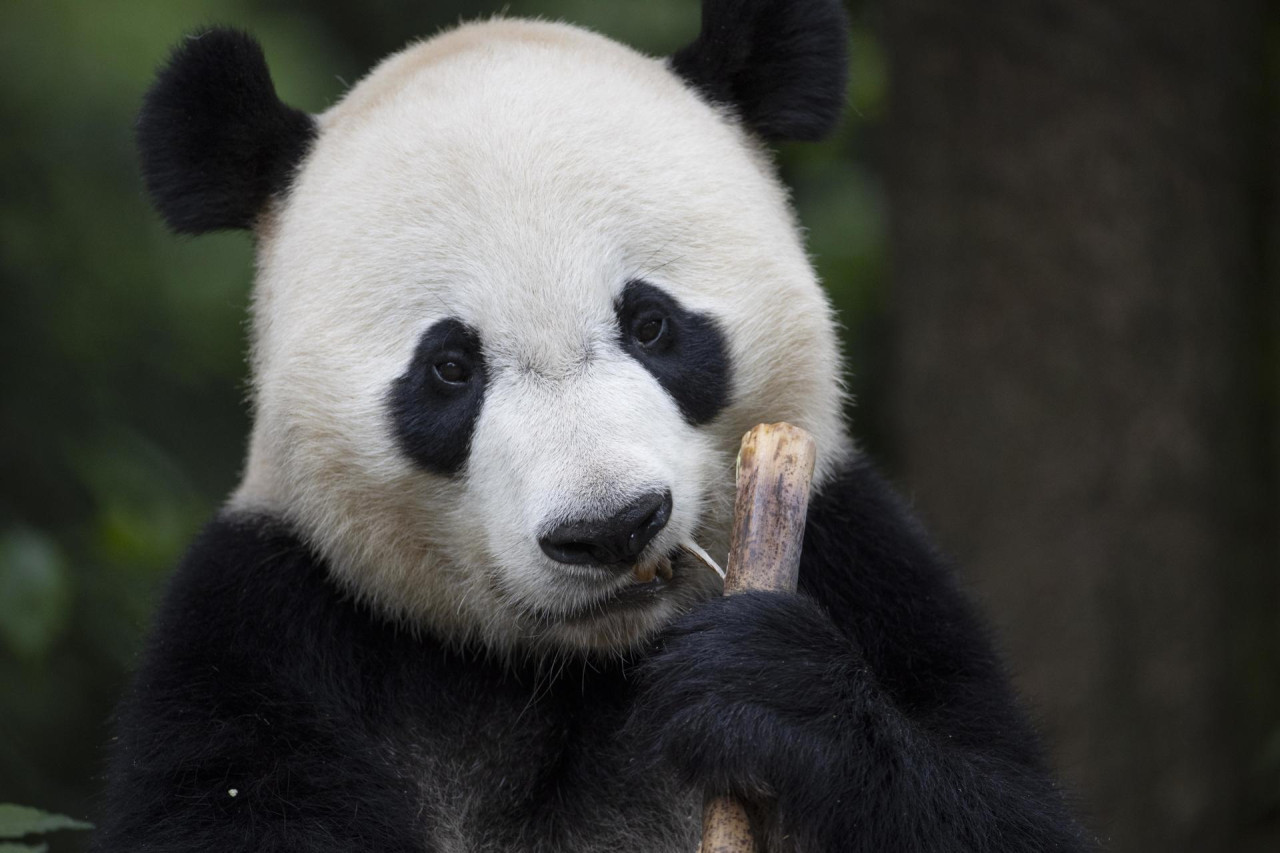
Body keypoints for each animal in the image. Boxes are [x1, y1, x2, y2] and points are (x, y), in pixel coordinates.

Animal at [92, 3, 1090, 845]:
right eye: (450, 367)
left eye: (650, 323)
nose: (610, 528)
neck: (576, 667)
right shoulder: (263, 633)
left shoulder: (874, 571)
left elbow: (1001, 805)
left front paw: (765, 689)